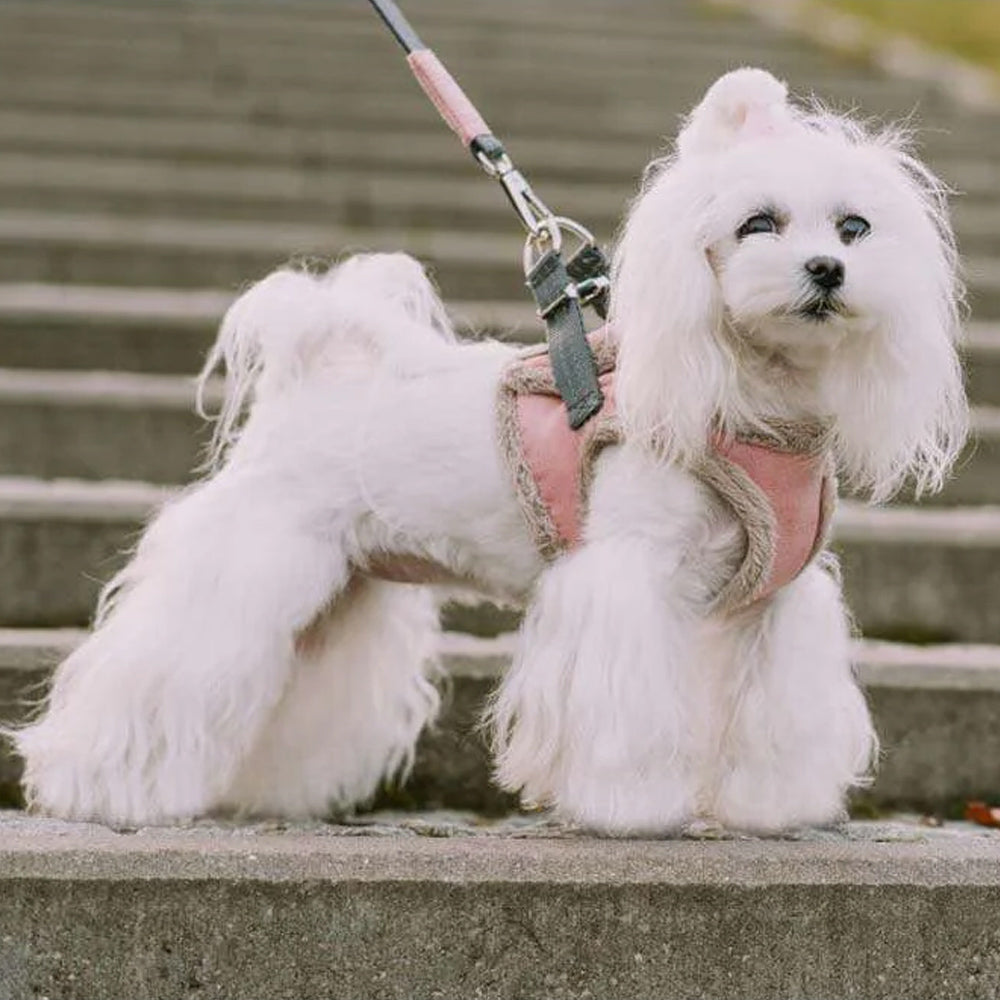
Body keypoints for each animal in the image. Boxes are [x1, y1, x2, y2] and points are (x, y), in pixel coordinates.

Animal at [11, 70, 964, 832]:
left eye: (854, 228)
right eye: (758, 223)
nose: (826, 270)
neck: (756, 405)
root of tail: (314, 365)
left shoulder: (777, 601)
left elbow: (775, 715)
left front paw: (770, 808)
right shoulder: (628, 575)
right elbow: (624, 709)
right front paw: (630, 805)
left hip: (339, 594)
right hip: (251, 563)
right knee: (156, 672)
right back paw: (91, 787)